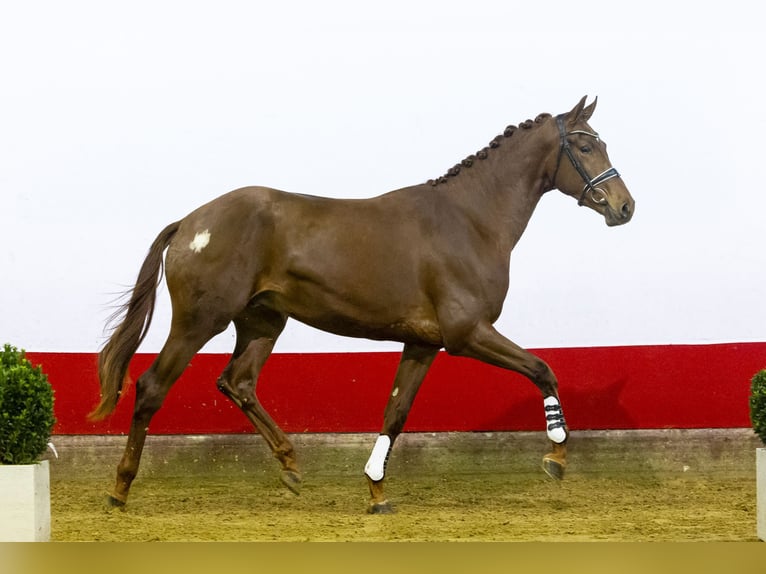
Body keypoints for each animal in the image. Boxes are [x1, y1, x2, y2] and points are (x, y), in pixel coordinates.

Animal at [90, 97, 636, 516]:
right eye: (586, 145)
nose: (624, 206)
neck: (469, 220)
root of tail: (188, 222)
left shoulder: (423, 343)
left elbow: (395, 412)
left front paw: (376, 491)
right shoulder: (467, 334)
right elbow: (543, 369)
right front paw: (556, 458)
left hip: (263, 321)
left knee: (237, 382)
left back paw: (291, 466)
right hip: (200, 321)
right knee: (151, 387)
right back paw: (119, 489)